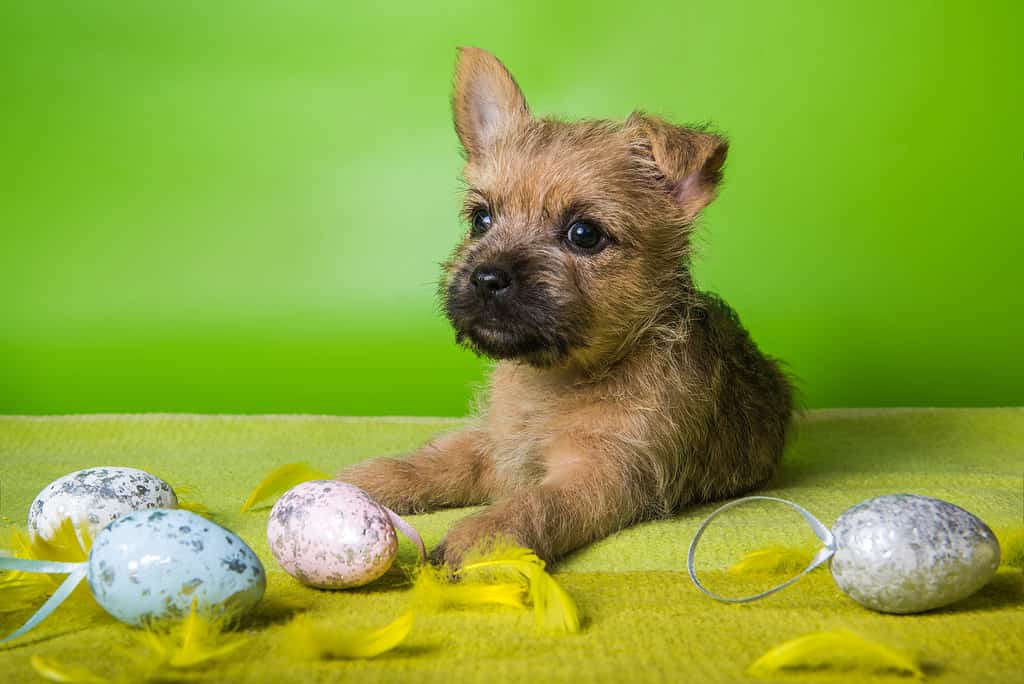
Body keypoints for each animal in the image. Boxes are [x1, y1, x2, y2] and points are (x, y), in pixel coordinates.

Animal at [339, 46, 794, 565]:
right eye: (481, 220)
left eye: (584, 234)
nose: (486, 278)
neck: (557, 381)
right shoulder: (497, 443)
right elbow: (437, 460)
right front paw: (371, 480)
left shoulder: (605, 474)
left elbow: (538, 504)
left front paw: (483, 535)